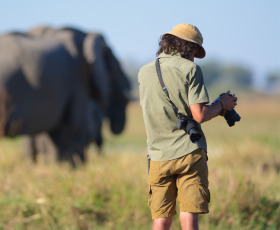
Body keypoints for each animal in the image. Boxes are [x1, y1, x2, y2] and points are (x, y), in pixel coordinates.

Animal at [0, 26, 131, 164]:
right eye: (116, 69)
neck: (86, 35)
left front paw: (59, 166)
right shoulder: (77, 80)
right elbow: (75, 126)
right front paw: (75, 166)